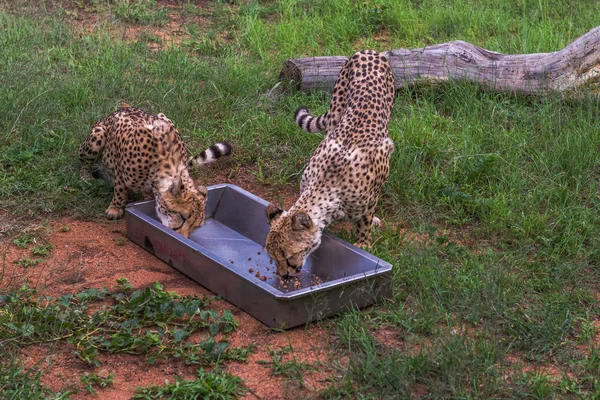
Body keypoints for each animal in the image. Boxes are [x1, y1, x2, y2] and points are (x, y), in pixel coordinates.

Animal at [78, 105, 231, 238]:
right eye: (182, 217)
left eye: (196, 226)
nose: (182, 237)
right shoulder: (120, 168)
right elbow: (120, 190)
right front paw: (115, 208)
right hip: (97, 135)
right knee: (85, 163)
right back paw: (86, 177)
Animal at [264, 50, 396, 278]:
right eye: (272, 257)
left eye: (288, 256)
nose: (284, 275)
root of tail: (368, 51)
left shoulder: (376, 179)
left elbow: (365, 220)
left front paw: (363, 243)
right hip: (336, 110)